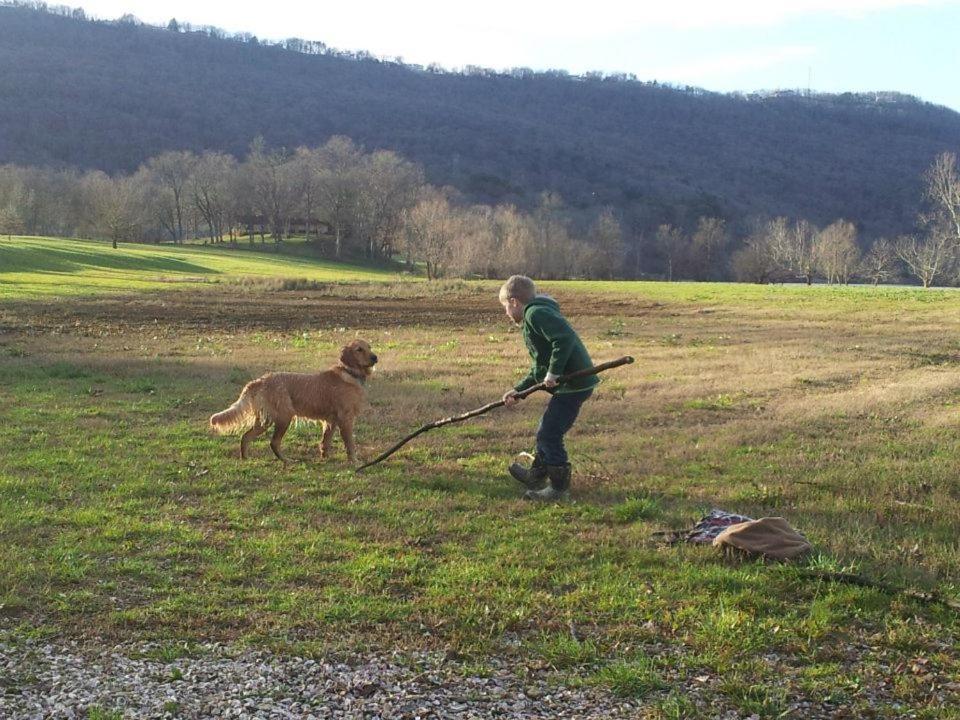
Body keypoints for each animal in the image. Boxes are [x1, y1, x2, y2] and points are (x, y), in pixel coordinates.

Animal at [210, 338, 378, 462]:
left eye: (369, 347)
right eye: (359, 349)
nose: (375, 357)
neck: (349, 372)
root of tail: (260, 380)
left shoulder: (331, 421)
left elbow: (325, 442)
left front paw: (325, 458)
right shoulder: (345, 419)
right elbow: (350, 444)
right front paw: (354, 461)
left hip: (265, 420)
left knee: (245, 437)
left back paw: (245, 459)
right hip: (284, 417)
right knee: (273, 442)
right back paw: (286, 460)